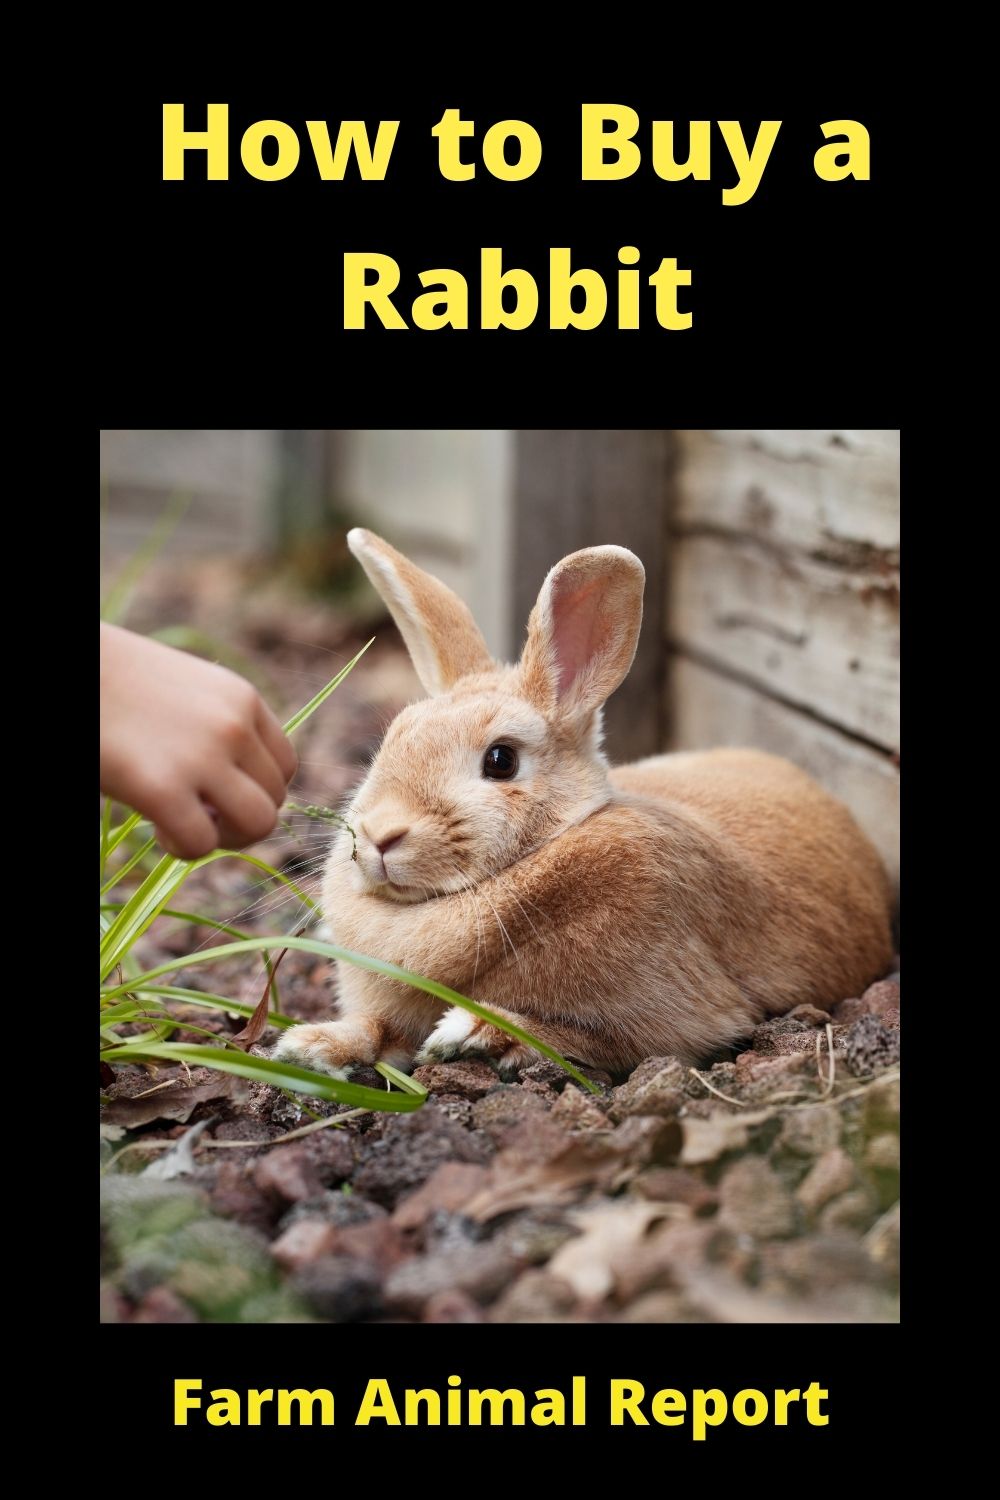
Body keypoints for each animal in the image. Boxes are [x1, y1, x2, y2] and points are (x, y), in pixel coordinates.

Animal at [273, 528, 893, 1080]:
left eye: (501, 760)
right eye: (392, 739)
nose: (378, 835)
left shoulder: (675, 1016)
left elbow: (580, 1038)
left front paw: (469, 1033)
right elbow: (376, 1029)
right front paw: (308, 1045)